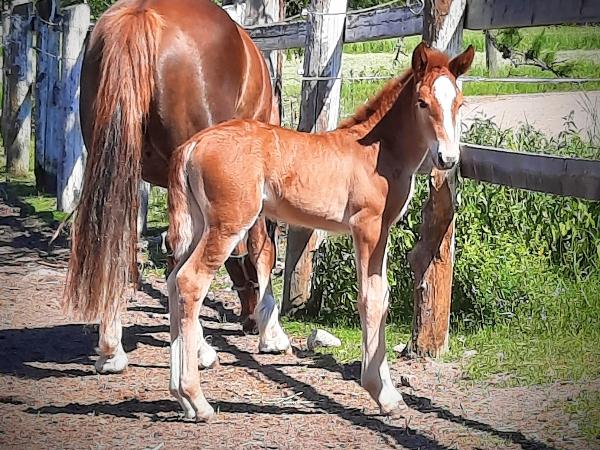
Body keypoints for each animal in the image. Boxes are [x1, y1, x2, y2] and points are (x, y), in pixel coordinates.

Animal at [63, 0, 288, 375]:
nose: (247, 320)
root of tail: (140, 15)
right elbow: (261, 248)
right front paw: (271, 335)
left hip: (121, 166)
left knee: (119, 243)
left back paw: (111, 351)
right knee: (183, 255)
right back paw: (201, 352)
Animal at [167, 41, 475, 420]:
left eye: (459, 103)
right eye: (422, 102)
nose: (447, 158)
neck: (377, 151)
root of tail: (191, 146)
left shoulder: (383, 229)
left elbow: (383, 296)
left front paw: (388, 392)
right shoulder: (367, 227)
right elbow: (371, 299)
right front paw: (382, 394)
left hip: (197, 226)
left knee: (173, 282)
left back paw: (182, 398)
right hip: (227, 225)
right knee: (190, 282)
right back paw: (197, 400)